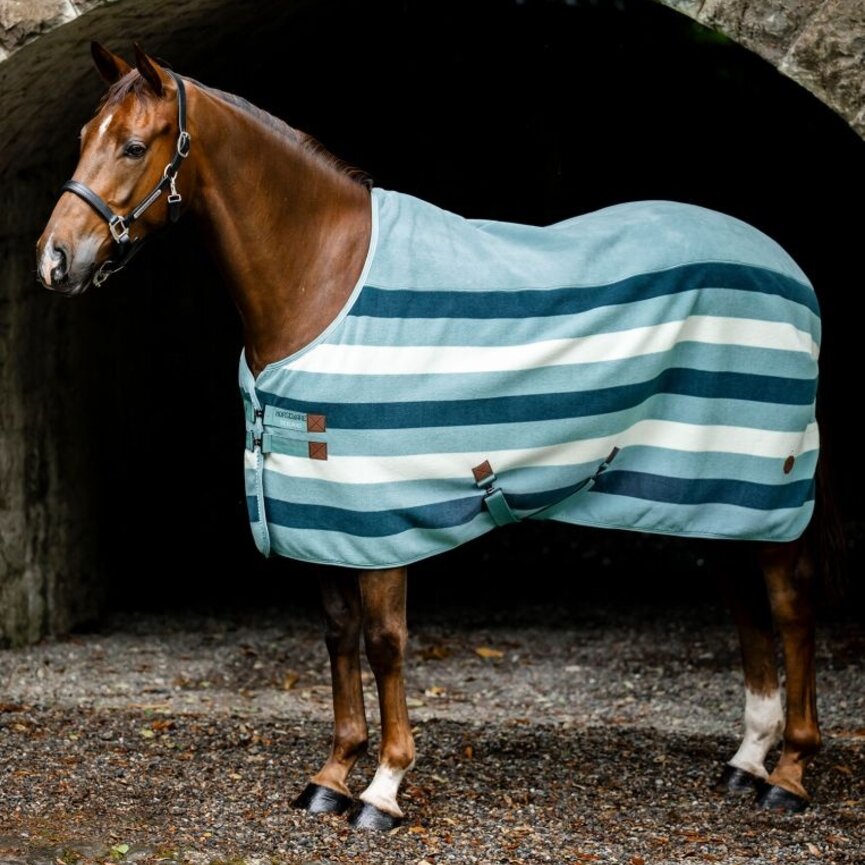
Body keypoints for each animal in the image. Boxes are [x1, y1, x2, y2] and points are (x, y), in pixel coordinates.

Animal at [36, 43, 831, 829]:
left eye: (134, 146)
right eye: (80, 137)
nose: (54, 259)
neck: (321, 276)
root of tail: (785, 265)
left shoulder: (380, 516)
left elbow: (385, 642)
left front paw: (383, 788)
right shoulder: (317, 511)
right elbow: (338, 633)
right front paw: (332, 772)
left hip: (767, 485)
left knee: (790, 606)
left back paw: (789, 772)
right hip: (704, 487)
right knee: (741, 600)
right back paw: (746, 759)